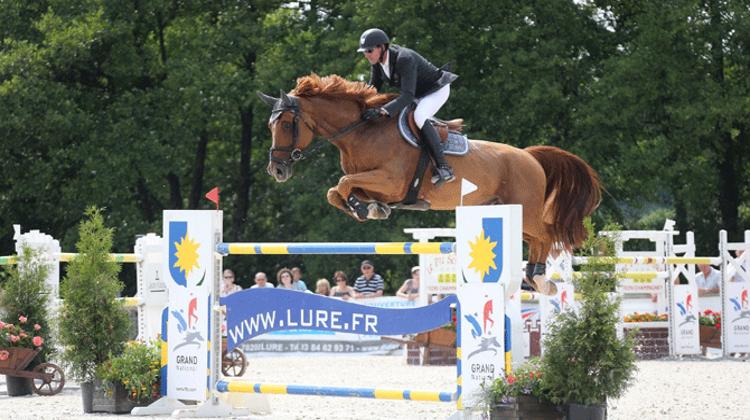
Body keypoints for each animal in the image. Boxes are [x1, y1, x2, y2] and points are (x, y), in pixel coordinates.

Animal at [262, 74, 604, 294]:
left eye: (287, 124)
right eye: (270, 125)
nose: (277, 170)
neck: (362, 132)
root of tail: (529, 156)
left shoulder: (392, 182)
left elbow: (342, 184)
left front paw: (365, 208)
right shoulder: (373, 184)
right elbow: (338, 191)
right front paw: (369, 209)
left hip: (527, 211)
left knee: (547, 236)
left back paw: (541, 280)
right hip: (510, 214)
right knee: (537, 240)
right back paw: (535, 278)